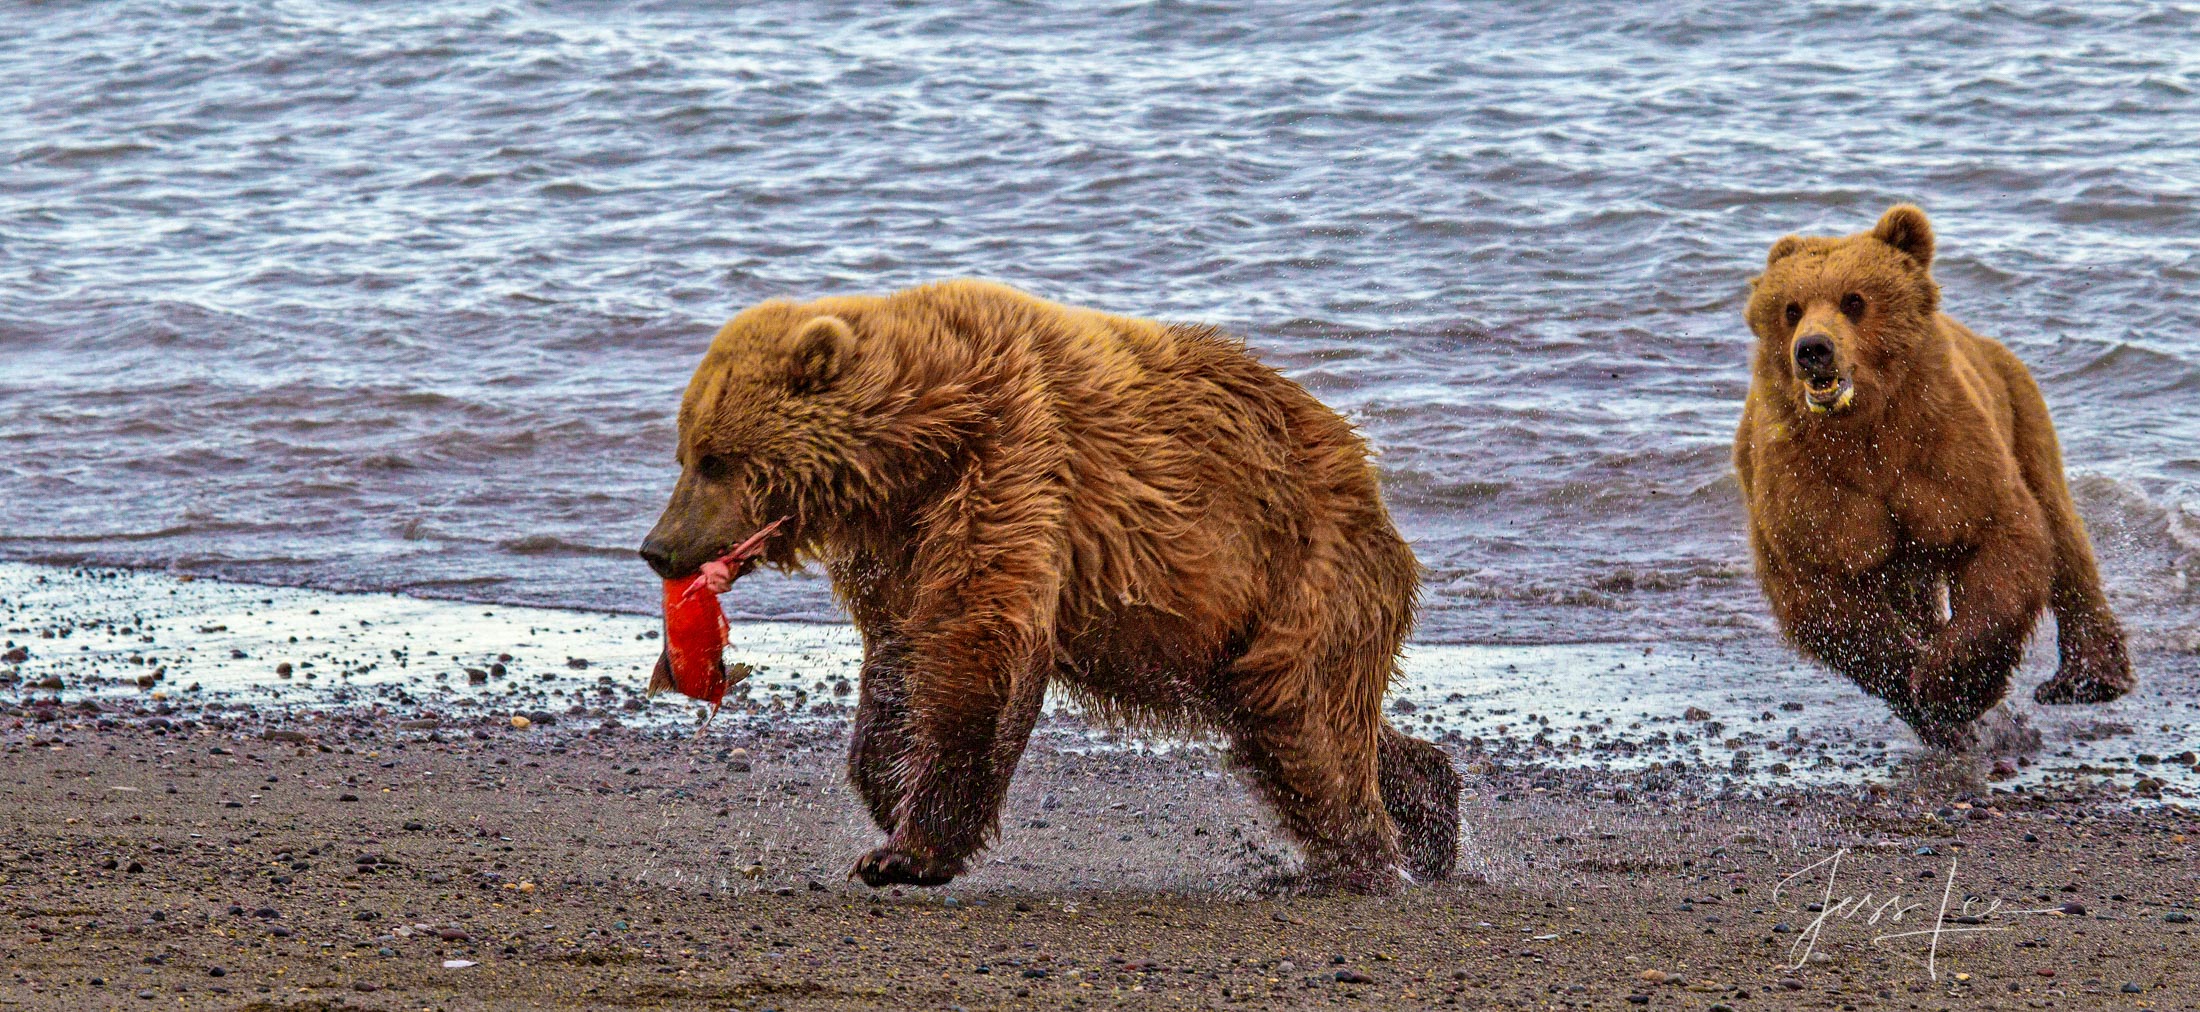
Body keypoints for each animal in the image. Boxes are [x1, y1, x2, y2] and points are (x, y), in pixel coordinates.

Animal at [638, 280, 1460, 888]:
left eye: (715, 458)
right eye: (685, 451)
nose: (658, 549)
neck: (918, 441)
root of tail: (1373, 490)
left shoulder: (1012, 455)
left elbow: (979, 643)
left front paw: (908, 849)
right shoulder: (897, 542)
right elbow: (902, 651)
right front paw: (886, 784)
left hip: (1302, 568)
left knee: (1302, 719)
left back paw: (1354, 861)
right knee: (1301, 720)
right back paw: (1428, 808)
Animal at [1733, 205, 2129, 748]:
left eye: (1854, 300)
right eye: (1791, 308)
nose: (1813, 349)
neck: (1864, 431)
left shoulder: (1943, 450)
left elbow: (2003, 542)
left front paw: (1952, 685)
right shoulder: (1808, 484)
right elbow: (1823, 596)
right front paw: (1920, 689)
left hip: (2020, 411)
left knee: (2061, 529)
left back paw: (2086, 678)